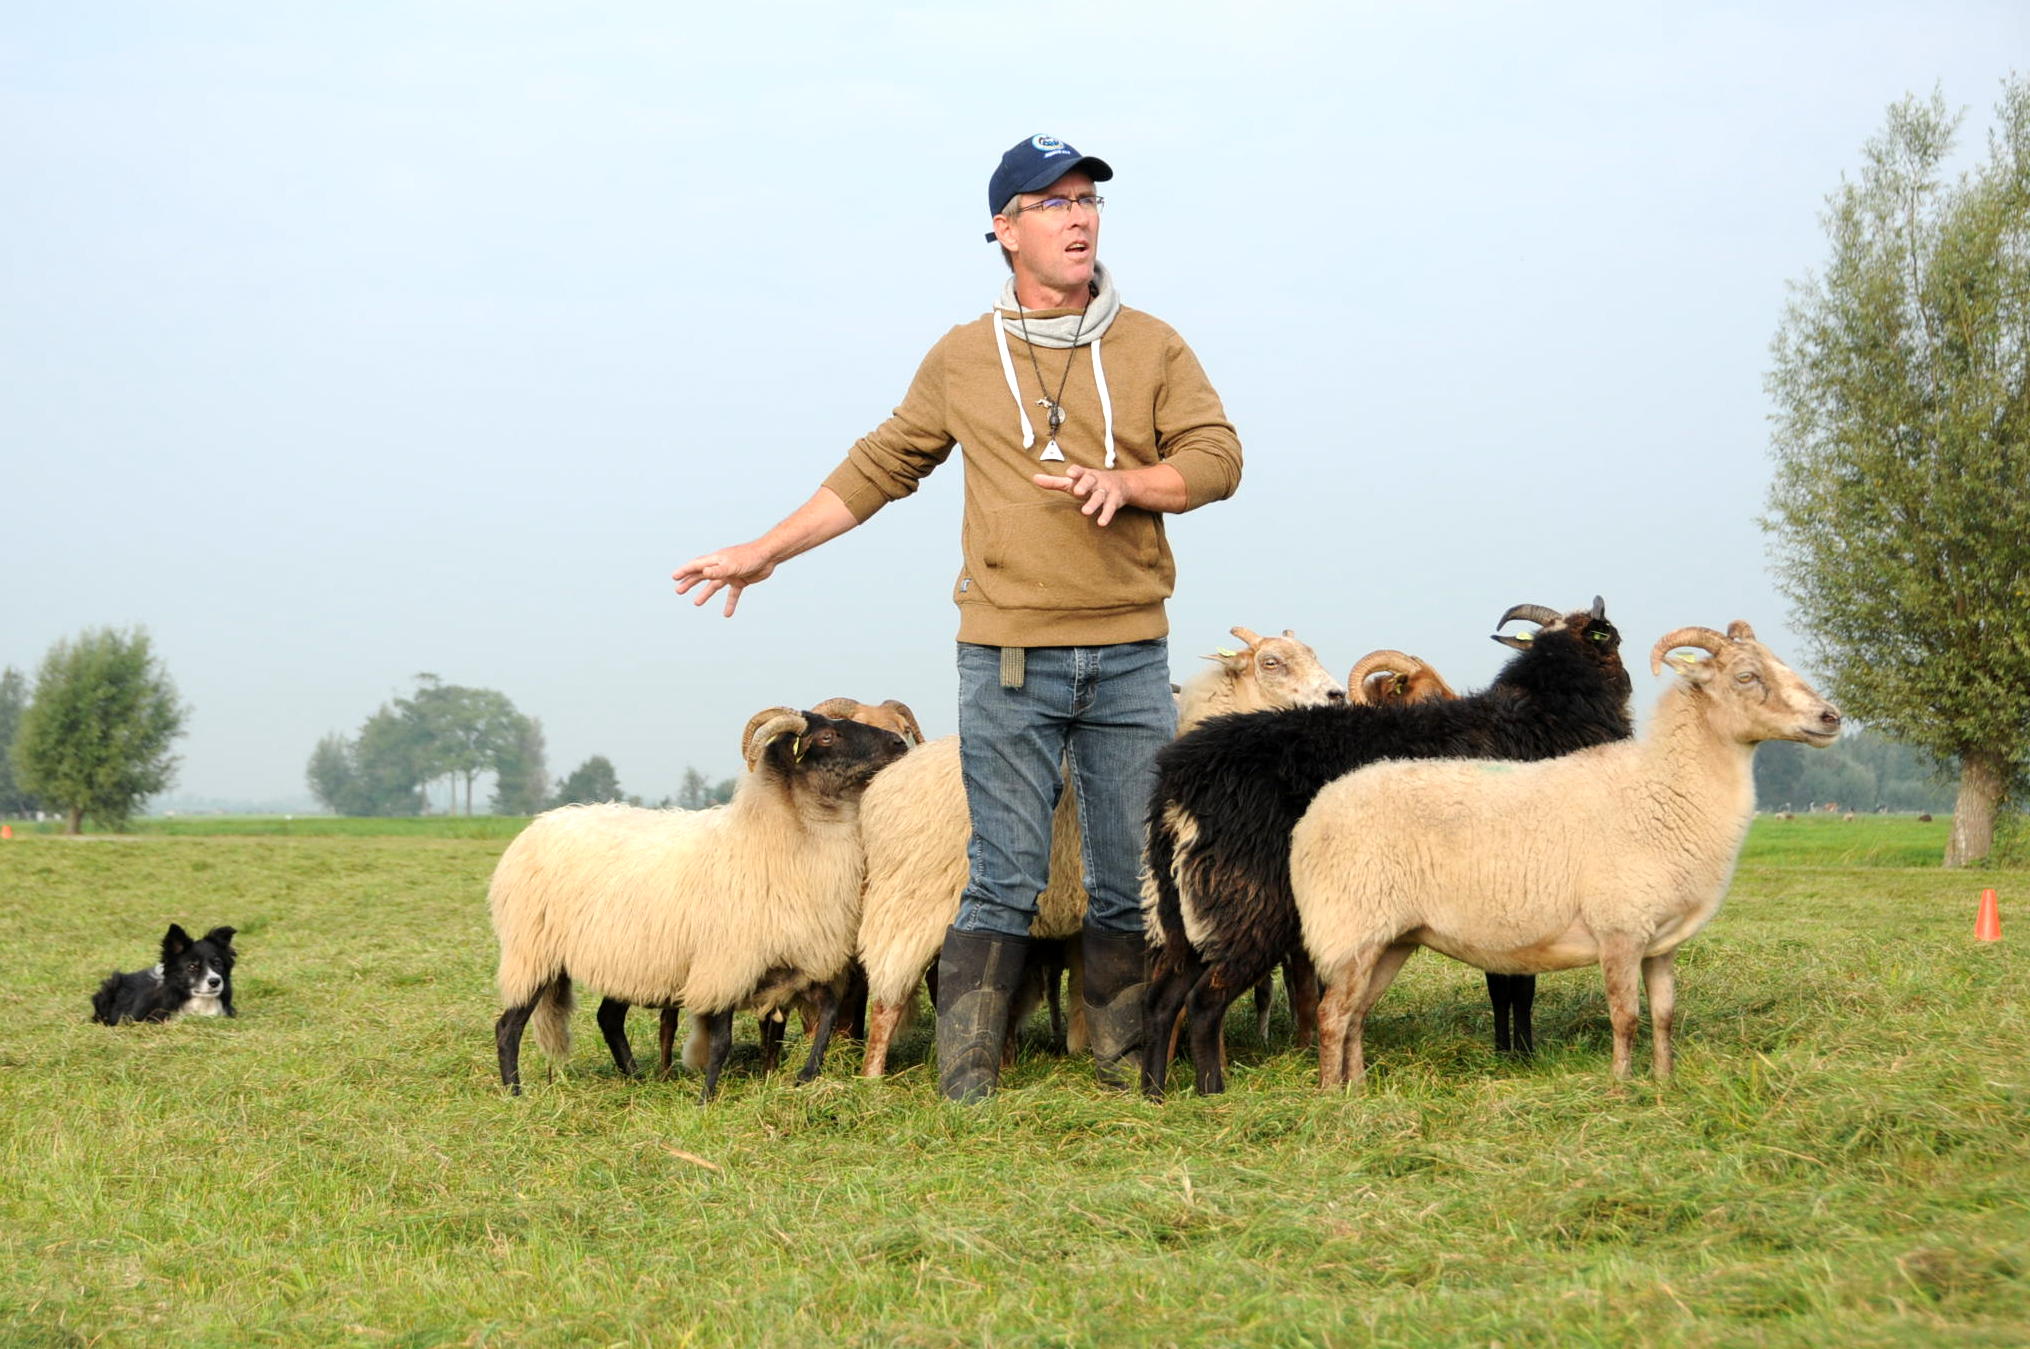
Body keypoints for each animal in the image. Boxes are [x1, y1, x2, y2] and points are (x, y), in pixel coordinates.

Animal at [491, 705, 905, 1095]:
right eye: (827, 737)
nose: (899, 743)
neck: (773, 836)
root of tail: (538, 824)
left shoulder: (802, 959)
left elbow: (826, 1015)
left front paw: (804, 1075)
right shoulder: (723, 965)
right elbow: (721, 1041)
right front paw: (707, 1097)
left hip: (624, 958)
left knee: (608, 1018)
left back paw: (637, 1079)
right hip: (532, 952)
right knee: (507, 1026)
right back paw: (515, 1093)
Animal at [856, 624, 1347, 1079]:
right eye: (1271, 663)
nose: (1336, 695)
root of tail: (883, 786)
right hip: (910, 899)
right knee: (888, 996)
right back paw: (875, 1077)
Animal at [1144, 596, 1632, 1095]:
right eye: (1612, 637)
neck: (1545, 716)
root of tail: (1182, 781)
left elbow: (1502, 983)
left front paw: (1505, 1053)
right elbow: (1518, 985)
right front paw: (1524, 1055)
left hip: (1184, 911)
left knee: (1162, 998)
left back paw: (1155, 1092)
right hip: (1250, 902)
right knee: (1204, 1001)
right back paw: (1211, 1091)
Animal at [1291, 620, 1851, 1087]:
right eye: (1746, 676)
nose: (1831, 718)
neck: (1665, 789)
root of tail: (1315, 814)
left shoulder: (1661, 942)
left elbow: (1664, 1015)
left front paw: (1665, 1083)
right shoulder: (1619, 929)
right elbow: (1625, 1016)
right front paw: (1621, 1088)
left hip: (1392, 938)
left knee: (1356, 1014)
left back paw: (1359, 1089)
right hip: (1352, 928)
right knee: (1333, 1015)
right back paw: (1331, 1097)